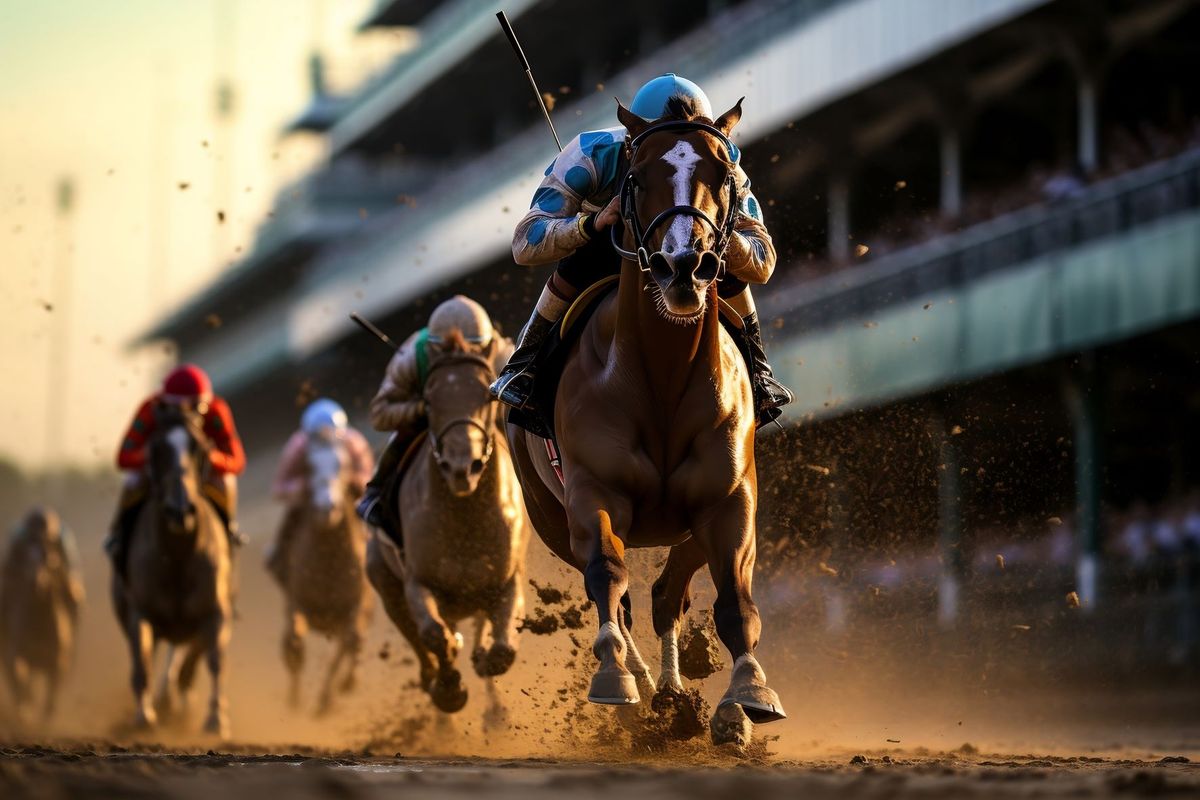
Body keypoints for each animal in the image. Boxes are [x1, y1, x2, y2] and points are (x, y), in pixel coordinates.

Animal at [0, 506, 81, 724]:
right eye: (28, 558)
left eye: (48, 560)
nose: (38, 583)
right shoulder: (16, 655)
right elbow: (19, 680)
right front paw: (25, 712)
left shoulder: (58, 661)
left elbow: (50, 699)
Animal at [112, 407, 234, 738]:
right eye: (156, 449)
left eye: (200, 448)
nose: (180, 510)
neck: (178, 556)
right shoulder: (139, 612)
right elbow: (141, 662)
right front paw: (144, 716)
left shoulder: (214, 610)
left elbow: (214, 660)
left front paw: (215, 720)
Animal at [367, 328, 532, 714]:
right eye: (428, 401)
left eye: (487, 393)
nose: (461, 467)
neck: (465, 522)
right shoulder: (417, 582)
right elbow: (434, 635)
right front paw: (449, 689)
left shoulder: (507, 580)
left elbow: (502, 650)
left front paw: (483, 659)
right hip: (384, 583)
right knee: (417, 638)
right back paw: (434, 675)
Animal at [508, 98, 782, 753]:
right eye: (637, 175)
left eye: (723, 175)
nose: (685, 265)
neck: (662, 376)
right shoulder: (592, 493)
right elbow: (608, 574)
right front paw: (615, 675)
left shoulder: (728, 498)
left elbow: (732, 597)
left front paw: (747, 695)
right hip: (546, 515)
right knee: (619, 595)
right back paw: (643, 685)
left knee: (664, 595)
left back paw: (682, 697)